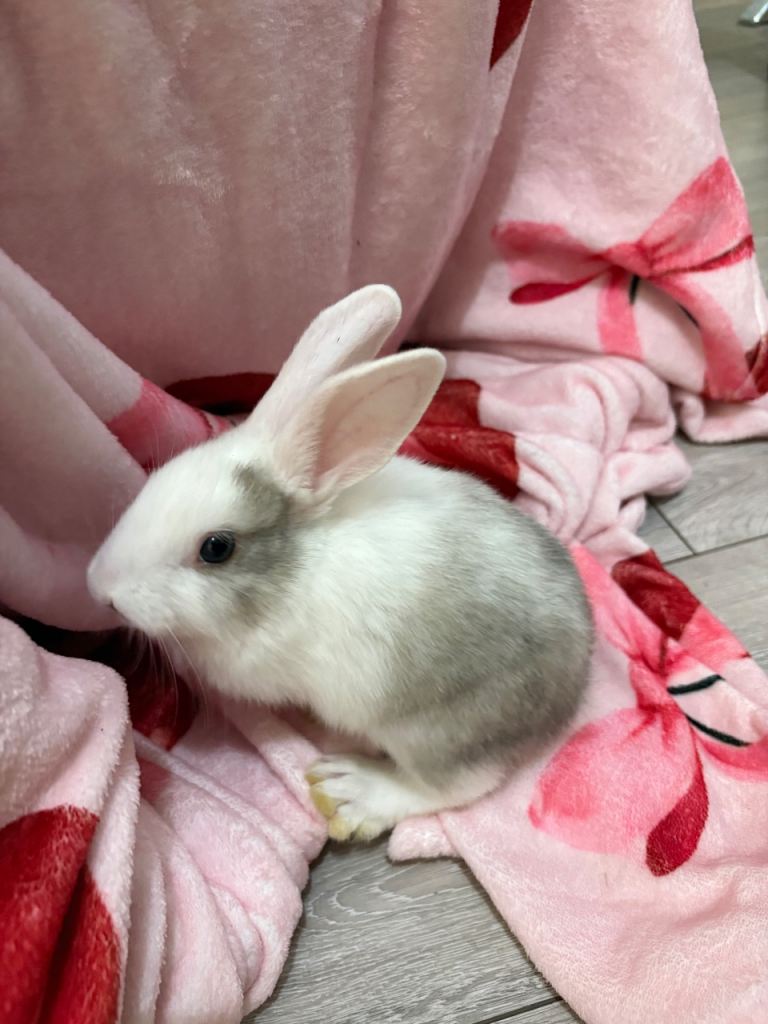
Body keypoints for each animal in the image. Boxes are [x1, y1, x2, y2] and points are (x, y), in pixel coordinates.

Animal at [88, 284, 593, 842]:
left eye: (216, 548)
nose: (101, 590)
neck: (295, 564)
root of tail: (572, 690)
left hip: (432, 728)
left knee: (457, 786)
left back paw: (353, 790)